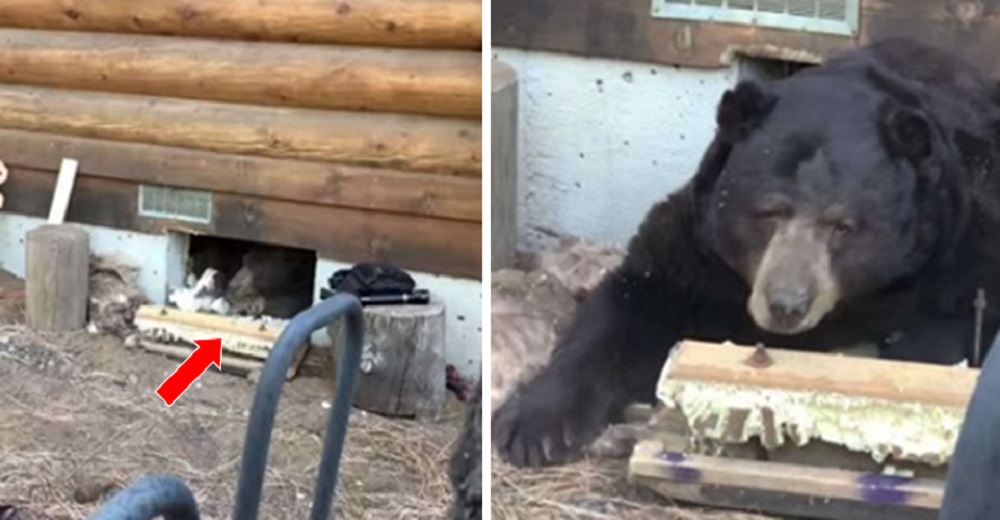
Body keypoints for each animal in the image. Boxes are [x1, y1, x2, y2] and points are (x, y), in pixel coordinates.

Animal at [496, 36, 1000, 468]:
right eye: (770, 211)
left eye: (842, 226)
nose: (787, 305)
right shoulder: (697, 254)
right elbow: (627, 305)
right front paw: (529, 426)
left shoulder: (956, 251)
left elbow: (952, 326)